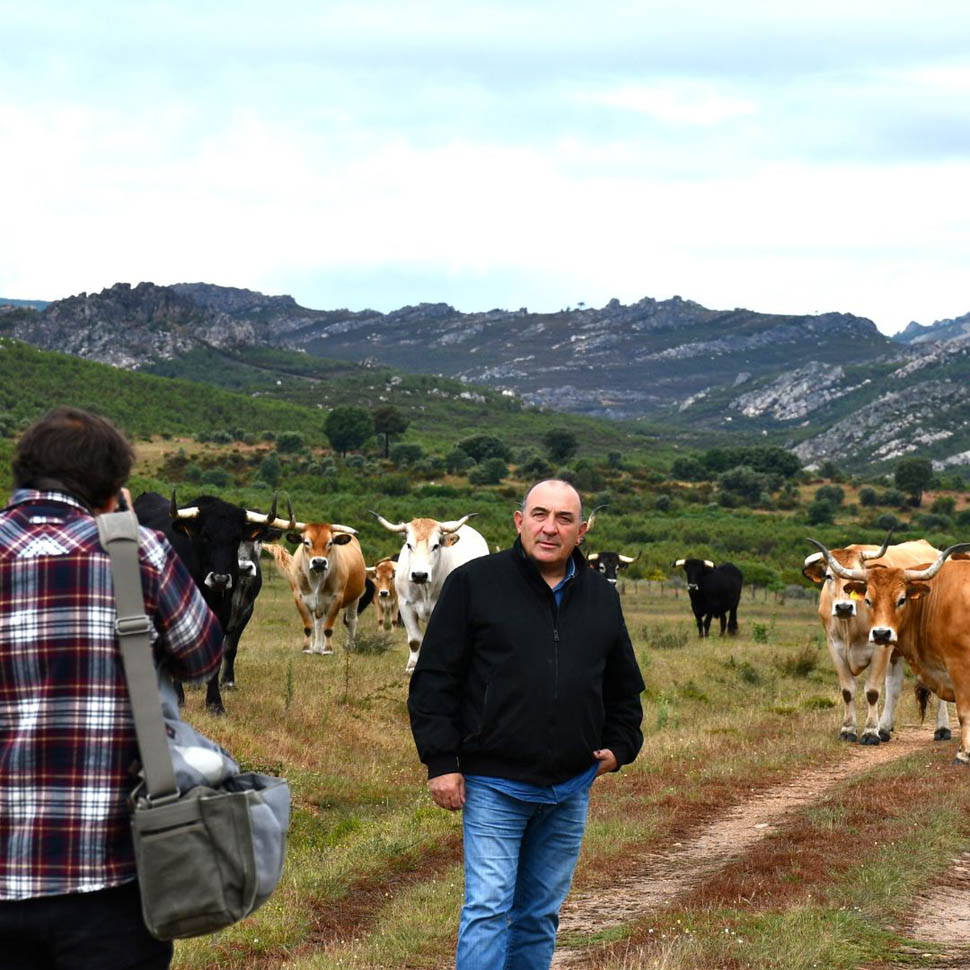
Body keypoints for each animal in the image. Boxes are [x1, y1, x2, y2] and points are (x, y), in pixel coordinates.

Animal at [132, 492, 284, 712]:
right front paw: (178, 697)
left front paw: (215, 703)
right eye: (205, 536)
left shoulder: (226, 614)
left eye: (236, 538)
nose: (220, 579)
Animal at [264, 516, 366, 652]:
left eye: (330, 543)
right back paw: (318, 647)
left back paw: (350, 645)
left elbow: (328, 628)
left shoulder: (337, 598)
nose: (319, 562)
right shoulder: (299, 598)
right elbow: (309, 626)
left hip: (355, 598)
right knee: (319, 622)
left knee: (351, 620)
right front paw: (308, 649)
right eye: (306, 542)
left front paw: (327, 649)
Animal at [372, 510, 492, 668]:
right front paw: (412, 666)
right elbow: (415, 641)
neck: (425, 589)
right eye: (409, 545)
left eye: (435, 546)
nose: (419, 575)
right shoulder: (404, 605)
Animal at [804, 536, 968, 764]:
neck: (850, 626)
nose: (844, 607)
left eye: (858, 570)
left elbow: (872, 691)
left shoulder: (882, 649)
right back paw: (885, 727)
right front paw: (848, 730)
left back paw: (941, 728)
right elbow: (848, 690)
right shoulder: (834, 647)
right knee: (894, 685)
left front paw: (870, 732)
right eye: (828, 576)